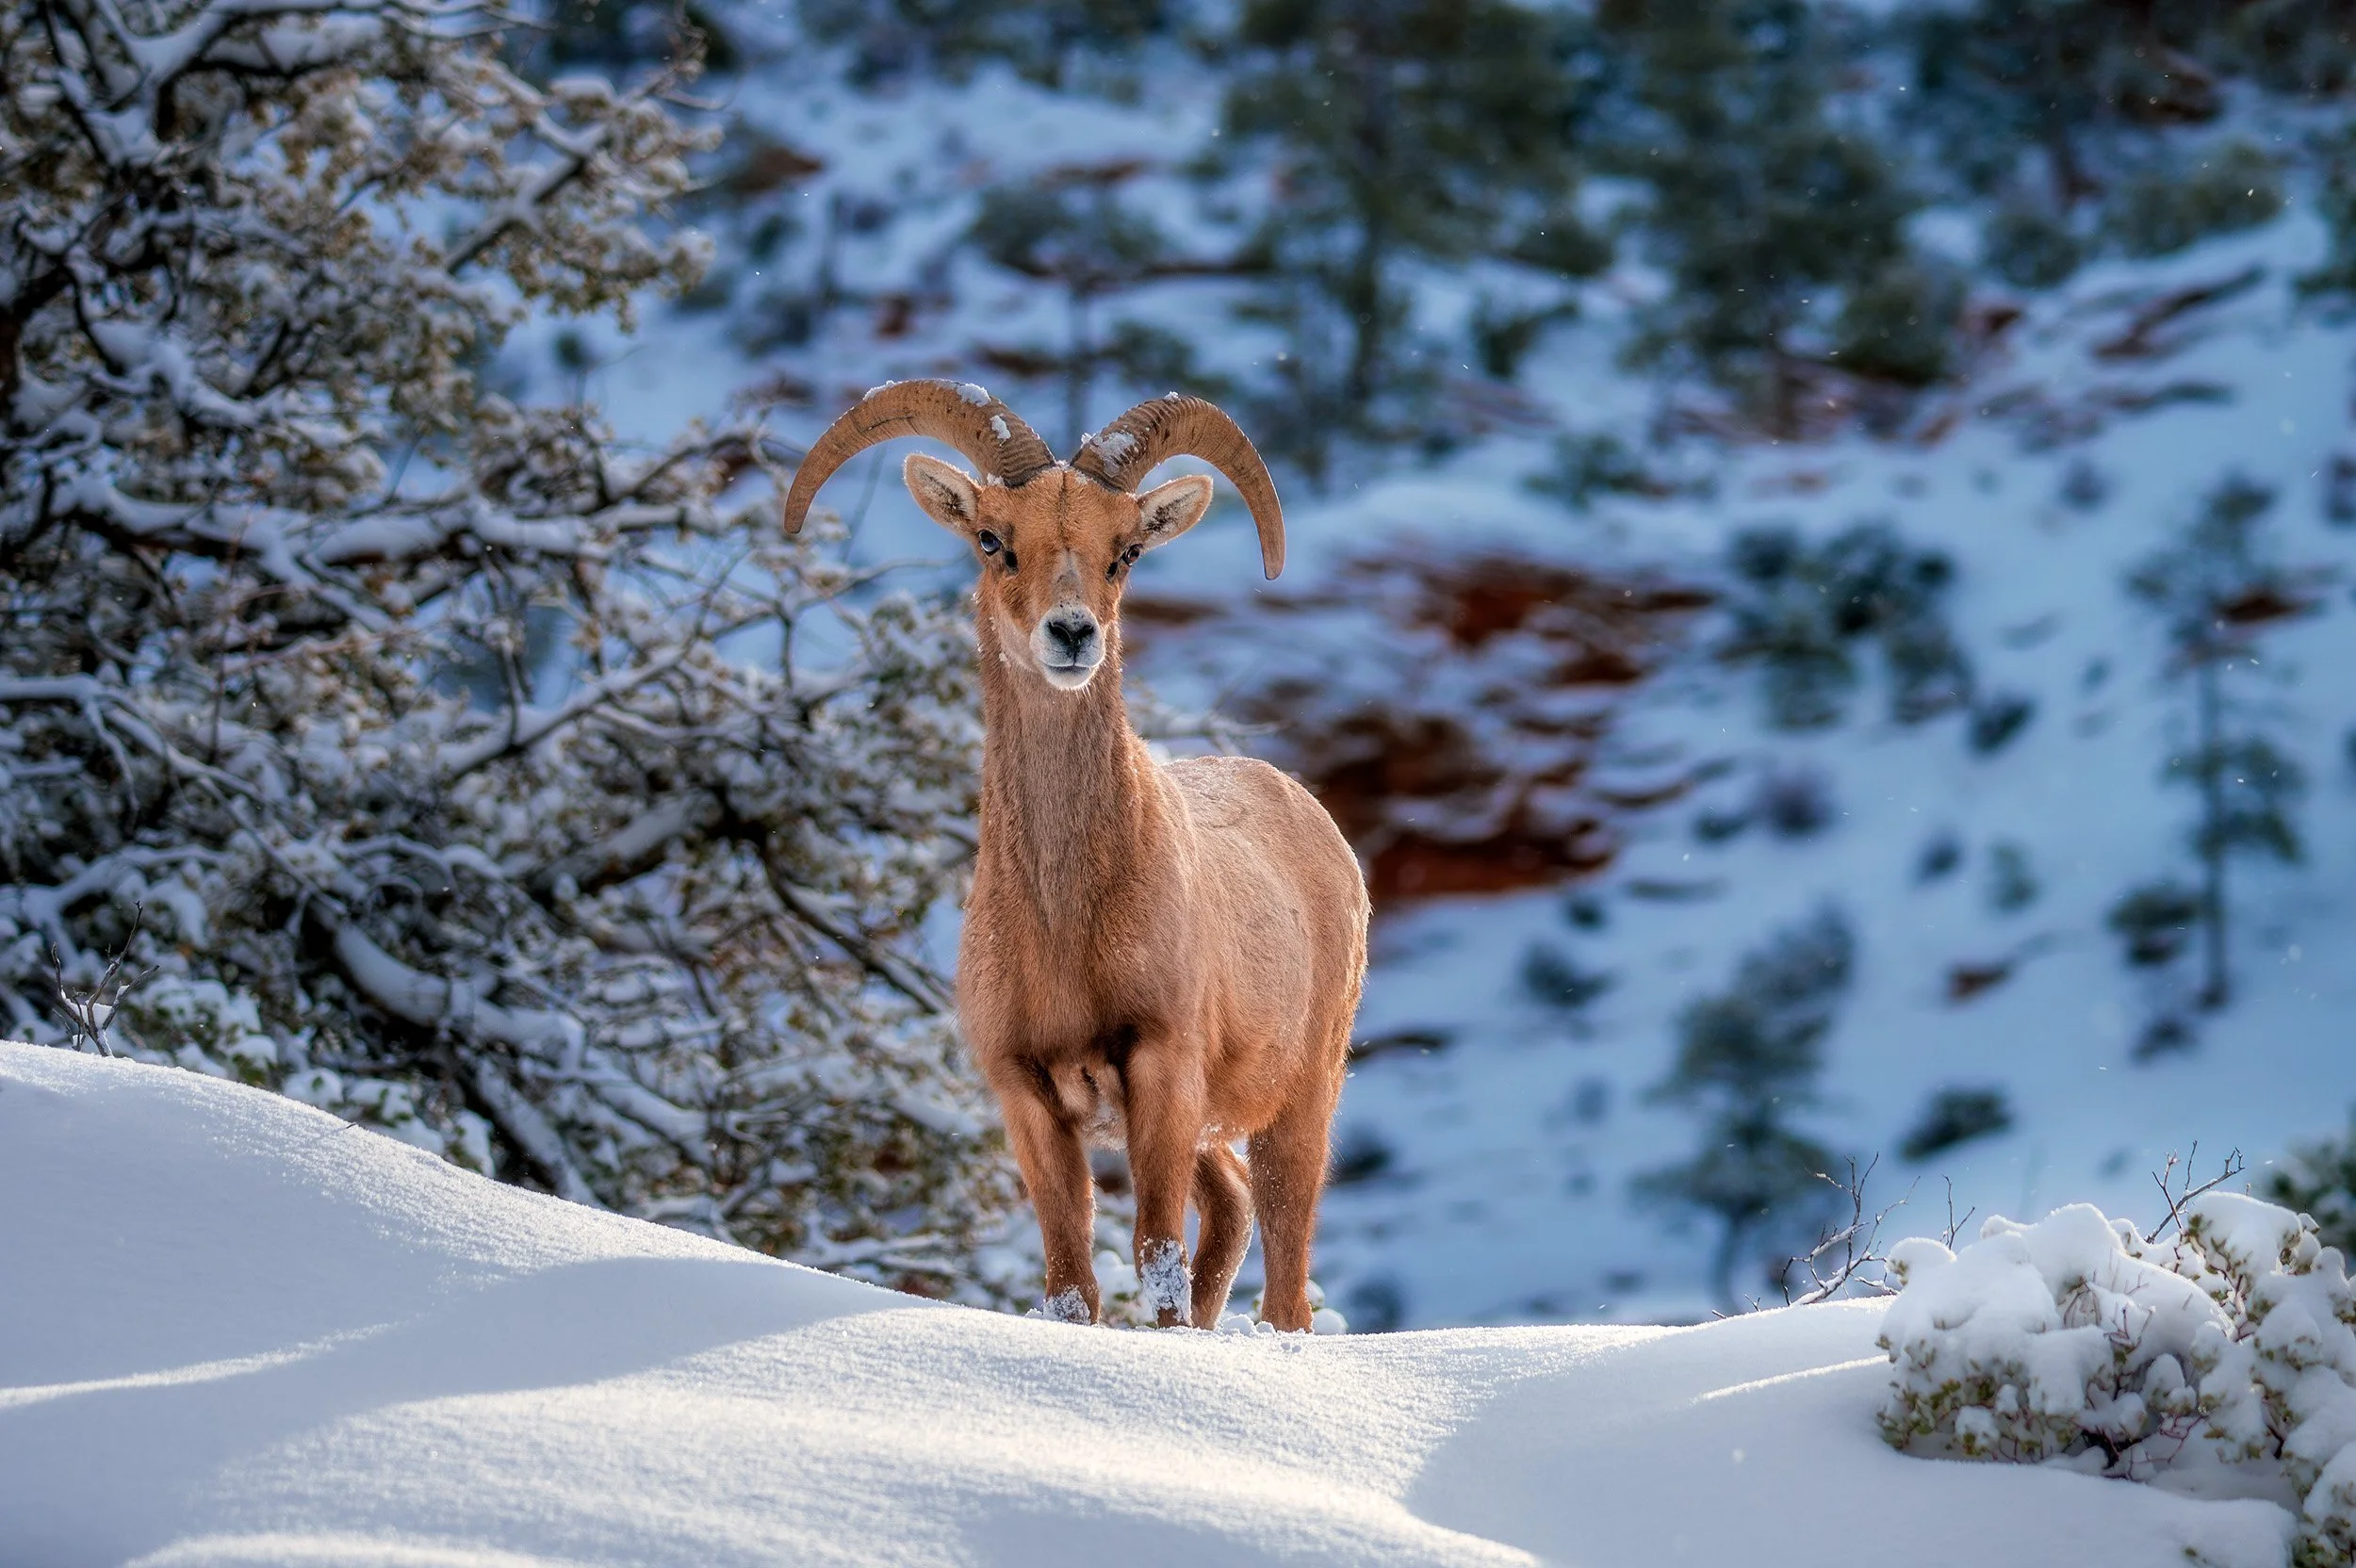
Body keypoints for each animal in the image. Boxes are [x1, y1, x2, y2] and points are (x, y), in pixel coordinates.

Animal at [783, 380, 1369, 1331]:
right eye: (993, 541)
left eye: (1125, 552)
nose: (1071, 634)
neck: (1064, 931)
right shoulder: (1029, 1099)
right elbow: (1071, 1288)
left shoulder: (1162, 1074)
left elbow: (1157, 1267)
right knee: (1234, 1212)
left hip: (1300, 1100)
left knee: (1284, 1272)